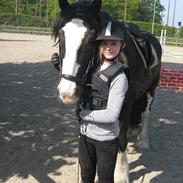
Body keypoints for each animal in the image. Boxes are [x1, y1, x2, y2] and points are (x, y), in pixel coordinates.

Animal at [52, 0, 162, 182]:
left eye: (91, 39)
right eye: (61, 36)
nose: (67, 93)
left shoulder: (125, 104)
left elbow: (121, 139)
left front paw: (121, 174)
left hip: (151, 89)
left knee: (145, 113)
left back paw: (144, 142)